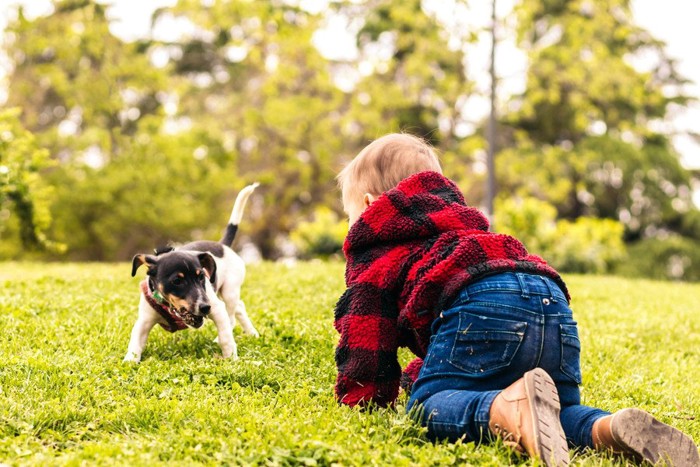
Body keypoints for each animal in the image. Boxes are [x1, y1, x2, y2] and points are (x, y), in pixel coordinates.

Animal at [123, 182, 260, 362]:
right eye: (177, 281)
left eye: (202, 277)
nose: (205, 307)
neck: (171, 310)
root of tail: (223, 245)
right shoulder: (144, 321)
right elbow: (135, 343)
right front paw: (129, 362)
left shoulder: (217, 308)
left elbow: (225, 336)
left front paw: (230, 357)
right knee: (239, 307)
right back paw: (252, 333)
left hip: (230, 290)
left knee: (232, 316)